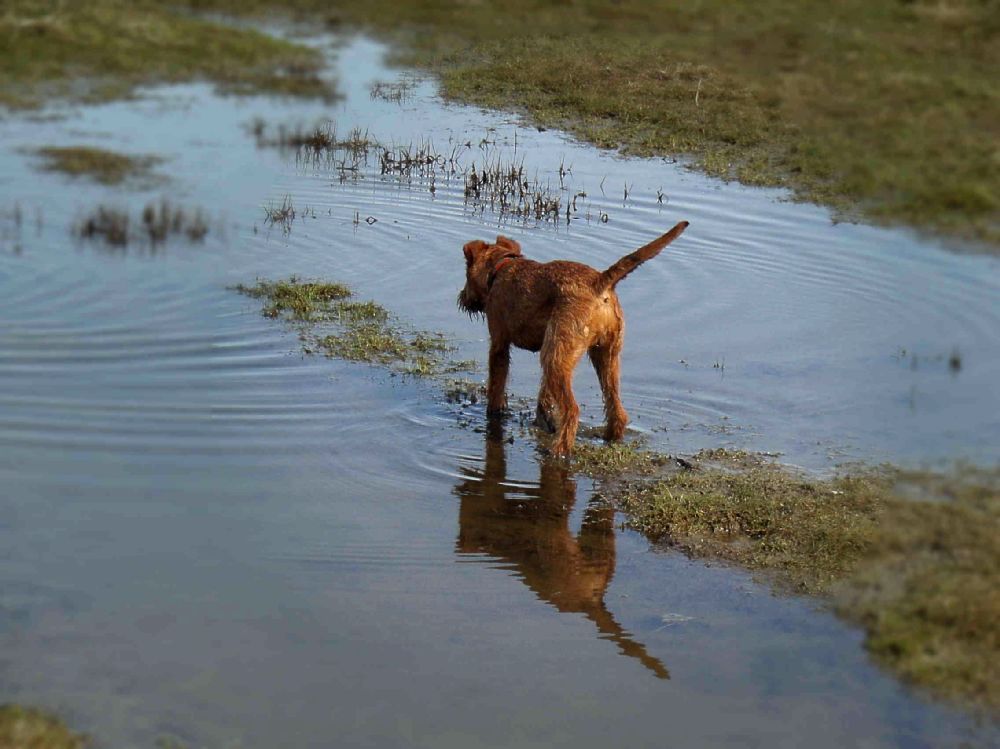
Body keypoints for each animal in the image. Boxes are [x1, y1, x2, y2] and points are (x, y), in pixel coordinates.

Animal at [458, 221, 688, 456]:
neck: (499, 269)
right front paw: (543, 417)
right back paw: (608, 437)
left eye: (466, 274)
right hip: (603, 355)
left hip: (557, 358)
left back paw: (558, 449)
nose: (462, 297)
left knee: (573, 410)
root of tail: (599, 283)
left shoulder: (499, 343)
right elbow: (544, 394)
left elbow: (497, 385)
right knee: (617, 410)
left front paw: (494, 413)